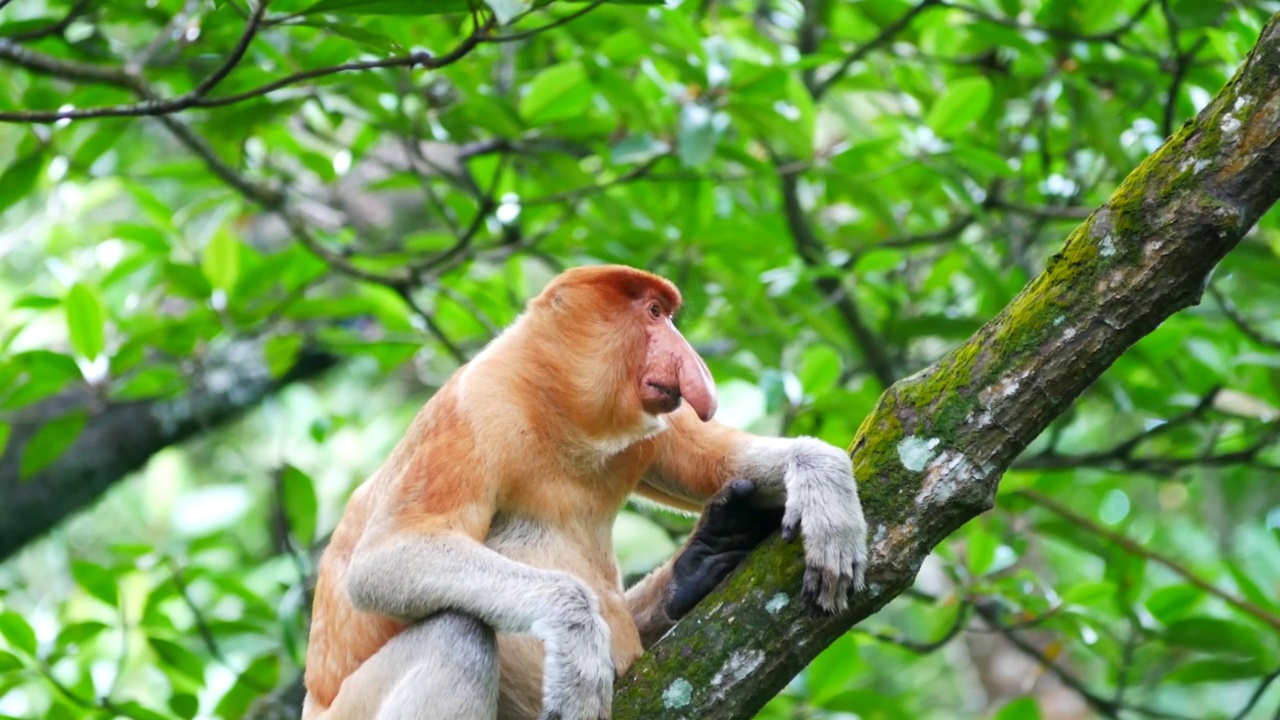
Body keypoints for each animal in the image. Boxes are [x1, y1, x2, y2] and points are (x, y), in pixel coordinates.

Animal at [304, 265, 875, 717]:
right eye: (653, 313)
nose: (692, 365)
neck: (555, 403)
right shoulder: (476, 408)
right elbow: (387, 556)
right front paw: (578, 646)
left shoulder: (643, 428)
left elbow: (713, 460)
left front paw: (824, 486)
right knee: (456, 633)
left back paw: (711, 552)